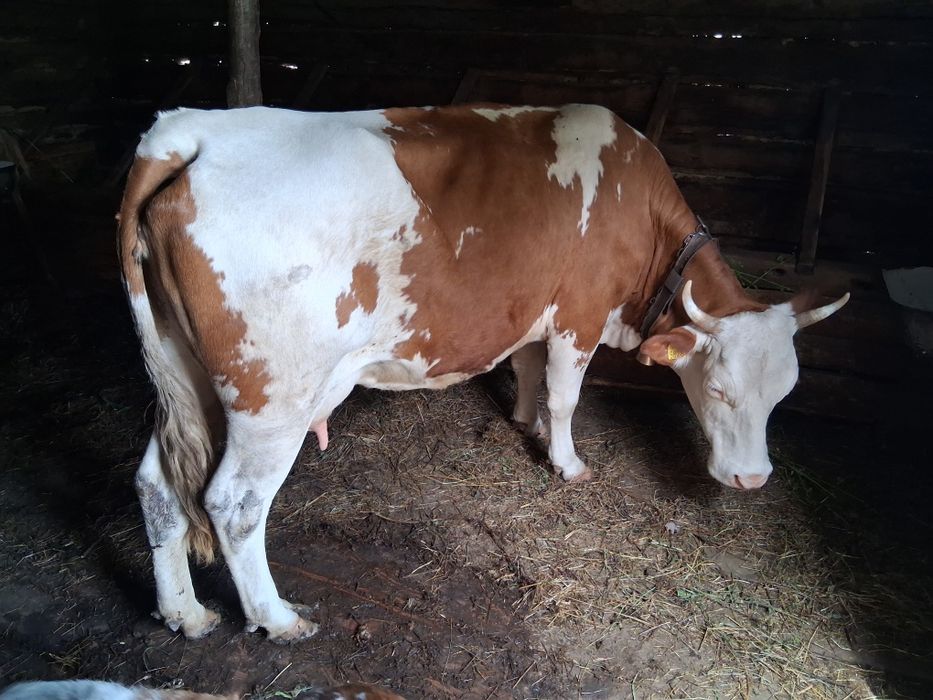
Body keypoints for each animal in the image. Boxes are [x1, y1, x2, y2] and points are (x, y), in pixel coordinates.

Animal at [117, 104, 848, 642]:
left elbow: (525, 368)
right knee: (234, 504)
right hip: (274, 397)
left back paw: (184, 611)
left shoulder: (530, 308)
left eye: (783, 396)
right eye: (719, 390)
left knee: (156, 483)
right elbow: (565, 394)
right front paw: (566, 462)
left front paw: (522, 422)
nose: (752, 479)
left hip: (187, 373)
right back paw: (277, 617)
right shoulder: (578, 314)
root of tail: (191, 130)